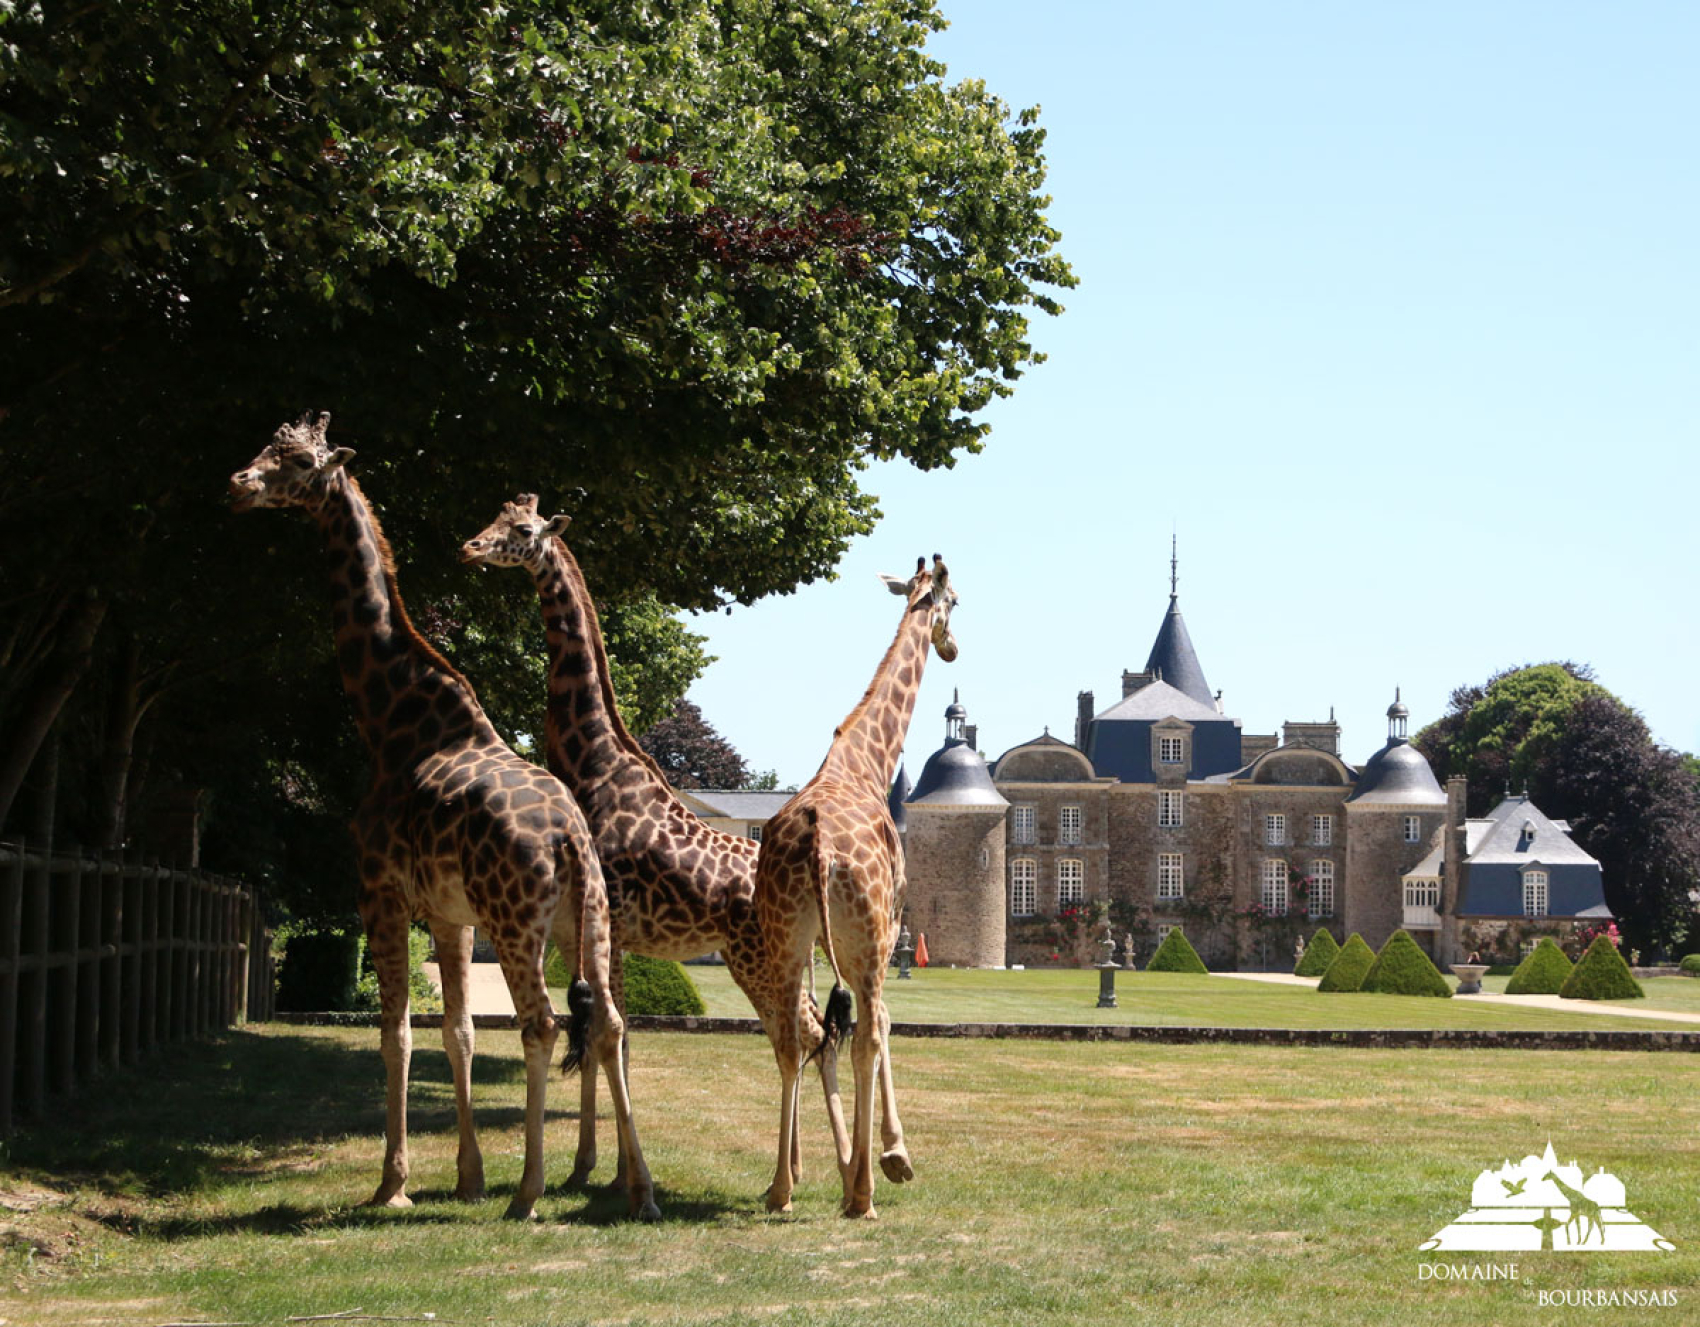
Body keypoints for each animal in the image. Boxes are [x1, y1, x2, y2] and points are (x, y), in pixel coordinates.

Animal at [236, 409, 659, 1216]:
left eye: (298, 461)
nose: (240, 483)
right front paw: (466, 1176)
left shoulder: (379, 890)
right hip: (586, 920)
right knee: (612, 1023)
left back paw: (528, 1193)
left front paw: (392, 1184)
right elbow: (457, 1030)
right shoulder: (448, 911)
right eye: (269, 444)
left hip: (517, 920)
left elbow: (396, 1031)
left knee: (542, 1023)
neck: (389, 718)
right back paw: (638, 1189)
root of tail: (570, 838)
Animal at [455, 492, 918, 1189]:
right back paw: (818, 1168)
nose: (471, 547)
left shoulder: (606, 924)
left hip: (759, 957)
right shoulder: (599, 931)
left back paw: (843, 1166)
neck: (592, 762)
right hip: (785, 956)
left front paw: (611, 1173)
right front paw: (591, 1169)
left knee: (814, 1032)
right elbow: (604, 1034)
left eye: (524, 529)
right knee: (817, 1030)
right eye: (496, 516)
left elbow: (608, 1035)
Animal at [758, 553, 958, 1216]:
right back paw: (864, 1193)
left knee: (793, 1038)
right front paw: (892, 1157)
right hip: (860, 938)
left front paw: (849, 1164)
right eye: (955, 601)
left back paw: (781, 1187)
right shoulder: (890, 928)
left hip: (785, 940)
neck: (866, 760)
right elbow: (885, 1023)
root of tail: (819, 849)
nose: (952, 647)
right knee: (865, 1032)